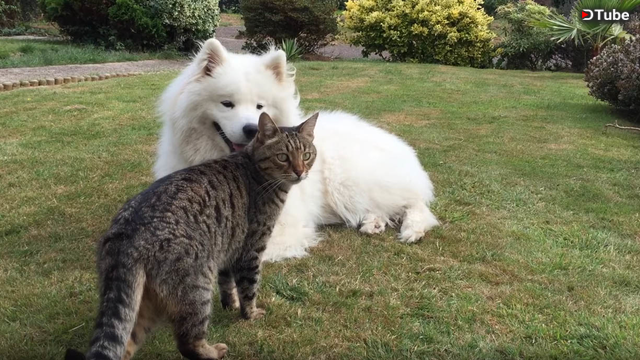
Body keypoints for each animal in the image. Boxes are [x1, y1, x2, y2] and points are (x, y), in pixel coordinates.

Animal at [65, 112, 318, 360]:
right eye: (283, 157)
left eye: (306, 155)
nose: (300, 172)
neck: (254, 169)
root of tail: (126, 236)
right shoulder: (251, 249)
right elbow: (248, 287)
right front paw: (250, 313)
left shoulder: (227, 246)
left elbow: (227, 284)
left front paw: (231, 304)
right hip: (197, 287)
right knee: (188, 342)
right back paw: (213, 351)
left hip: (142, 304)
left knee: (125, 345)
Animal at [154, 38, 440, 262]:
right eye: (227, 104)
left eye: (260, 106)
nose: (251, 129)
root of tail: (401, 145)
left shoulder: (282, 226)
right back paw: (374, 223)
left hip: (350, 184)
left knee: (415, 204)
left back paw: (412, 229)